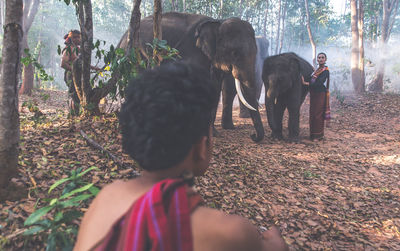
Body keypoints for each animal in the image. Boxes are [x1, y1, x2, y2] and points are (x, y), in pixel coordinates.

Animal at [117, 11, 264, 142]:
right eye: (234, 53)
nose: (253, 136)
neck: (218, 22)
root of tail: (123, 37)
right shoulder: (192, 54)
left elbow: (215, 88)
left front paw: (213, 134)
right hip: (135, 57)